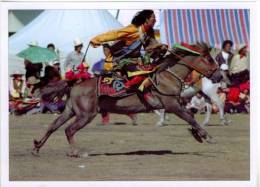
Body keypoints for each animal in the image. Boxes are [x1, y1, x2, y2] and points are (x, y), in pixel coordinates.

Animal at [31, 42, 218, 158]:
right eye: (209, 59)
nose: (219, 76)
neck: (167, 76)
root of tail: (74, 83)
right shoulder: (172, 105)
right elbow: (190, 117)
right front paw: (206, 136)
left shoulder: (173, 105)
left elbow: (190, 117)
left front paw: (199, 135)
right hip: (86, 114)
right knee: (69, 130)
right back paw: (76, 152)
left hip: (71, 110)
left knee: (53, 126)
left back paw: (37, 148)